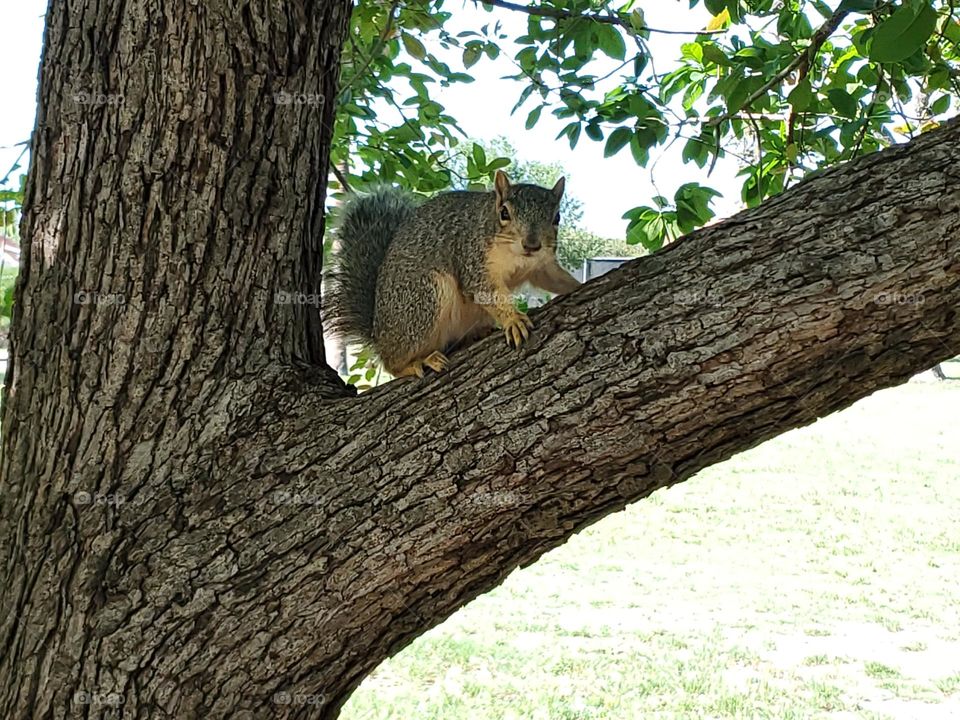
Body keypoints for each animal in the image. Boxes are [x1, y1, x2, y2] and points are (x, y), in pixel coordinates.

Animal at [325, 170, 581, 378]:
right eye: (504, 213)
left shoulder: (541, 266)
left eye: (557, 217)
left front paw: (577, 286)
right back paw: (415, 363)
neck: (517, 257)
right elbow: (487, 291)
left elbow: (555, 279)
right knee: (392, 362)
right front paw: (514, 319)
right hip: (422, 300)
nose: (531, 245)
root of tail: (378, 333)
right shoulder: (472, 259)